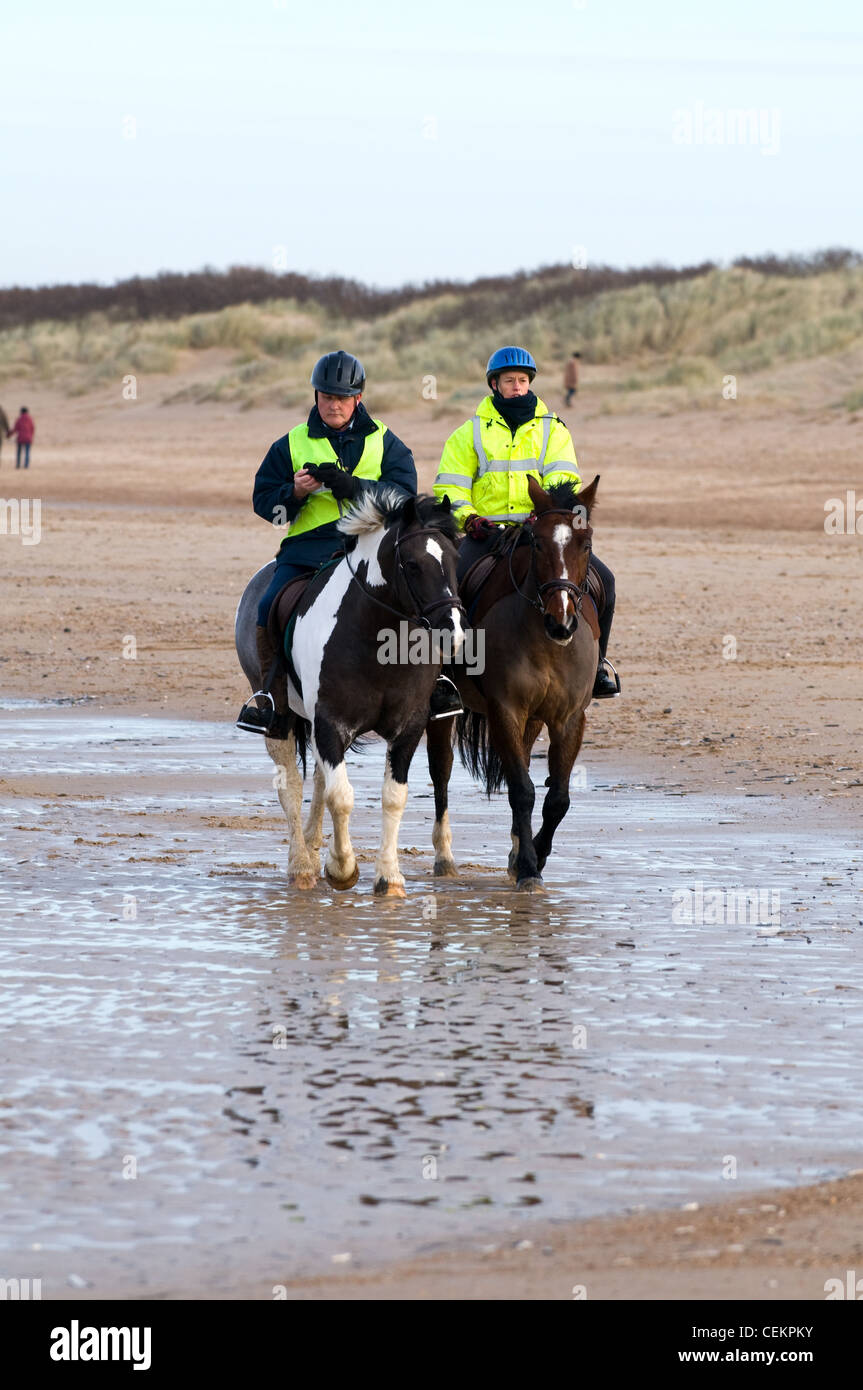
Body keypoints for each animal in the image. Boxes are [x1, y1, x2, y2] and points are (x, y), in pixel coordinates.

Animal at [233, 494, 464, 895]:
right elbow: (339, 798)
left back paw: (312, 847)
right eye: (413, 565)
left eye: (454, 560)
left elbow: (392, 797)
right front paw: (342, 868)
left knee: (319, 779)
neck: (379, 640)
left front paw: (389, 877)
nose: (453, 632)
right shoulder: (331, 723)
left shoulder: (408, 727)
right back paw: (302, 866)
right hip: (279, 716)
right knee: (291, 785)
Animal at [428, 475, 600, 889]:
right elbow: (522, 790)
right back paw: (444, 858)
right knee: (440, 771)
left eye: (585, 544)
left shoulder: (569, 718)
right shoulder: (505, 710)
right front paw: (528, 868)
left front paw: (533, 854)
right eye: (537, 543)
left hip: (533, 720)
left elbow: (557, 798)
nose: (561, 622)